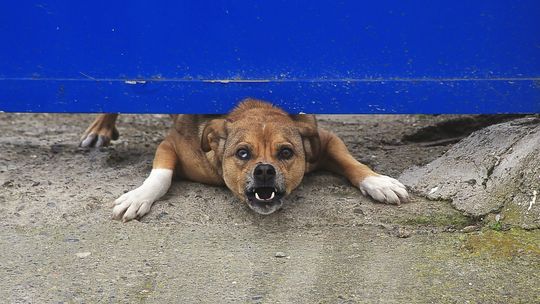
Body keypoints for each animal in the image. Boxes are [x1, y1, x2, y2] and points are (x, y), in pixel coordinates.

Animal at [80, 99, 410, 221]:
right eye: (242, 153)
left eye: (286, 152)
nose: (264, 170)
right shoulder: (171, 144)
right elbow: (160, 176)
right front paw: (138, 197)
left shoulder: (324, 139)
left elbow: (351, 162)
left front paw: (378, 183)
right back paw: (100, 129)